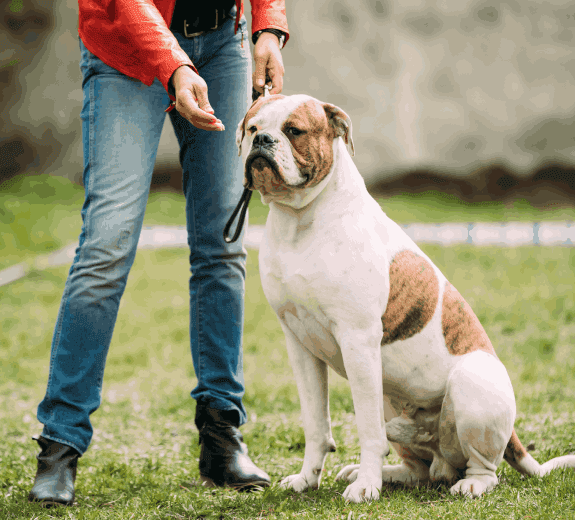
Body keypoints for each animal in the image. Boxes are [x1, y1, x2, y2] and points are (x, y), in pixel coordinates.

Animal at [235, 94, 575, 504]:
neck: (299, 220)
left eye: (294, 130)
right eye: (252, 127)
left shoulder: (358, 340)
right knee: (421, 467)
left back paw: (466, 483)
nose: (262, 141)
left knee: (482, 467)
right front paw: (307, 479)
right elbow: (316, 425)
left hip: (470, 382)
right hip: (391, 402)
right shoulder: (300, 345)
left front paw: (366, 487)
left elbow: (367, 431)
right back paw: (381, 472)